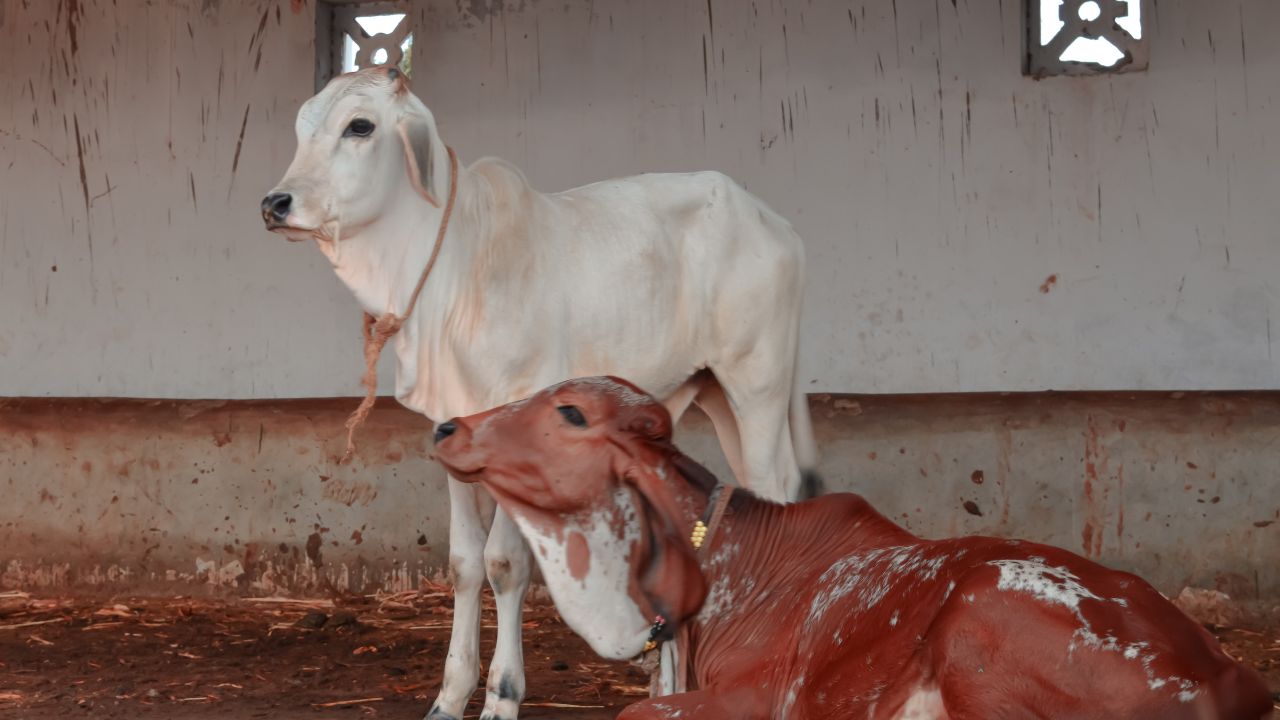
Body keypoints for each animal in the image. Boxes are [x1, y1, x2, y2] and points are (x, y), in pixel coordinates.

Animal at [261, 66, 818, 720]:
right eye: (301, 128)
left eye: (360, 126)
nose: (275, 204)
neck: (453, 271)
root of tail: (775, 223)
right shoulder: (451, 427)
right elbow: (464, 563)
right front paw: (449, 696)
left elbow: (504, 563)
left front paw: (502, 695)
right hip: (713, 394)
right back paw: (666, 688)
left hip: (756, 385)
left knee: (774, 491)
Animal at [432, 376, 1275, 720]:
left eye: (571, 412)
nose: (447, 426)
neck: (734, 565)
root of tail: (1229, 679)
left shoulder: (760, 700)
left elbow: (636, 712)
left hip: (981, 620)